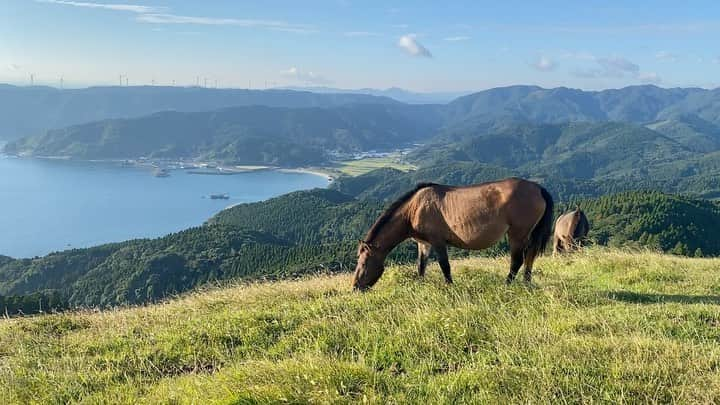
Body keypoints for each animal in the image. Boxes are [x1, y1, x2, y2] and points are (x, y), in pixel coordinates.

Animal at [352, 178, 556, 288]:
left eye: (364, 263)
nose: (355, 287)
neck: (414, 209)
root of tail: (538, 188)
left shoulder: (438, 242)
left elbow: (445, 266)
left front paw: (450, 287)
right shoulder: (424, 243)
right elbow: (421, 266)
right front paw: (420, 285)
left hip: (517, 234)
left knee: (517, 260)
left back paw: (507, 285)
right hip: (529, 234)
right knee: (530, 256)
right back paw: (526, 283)